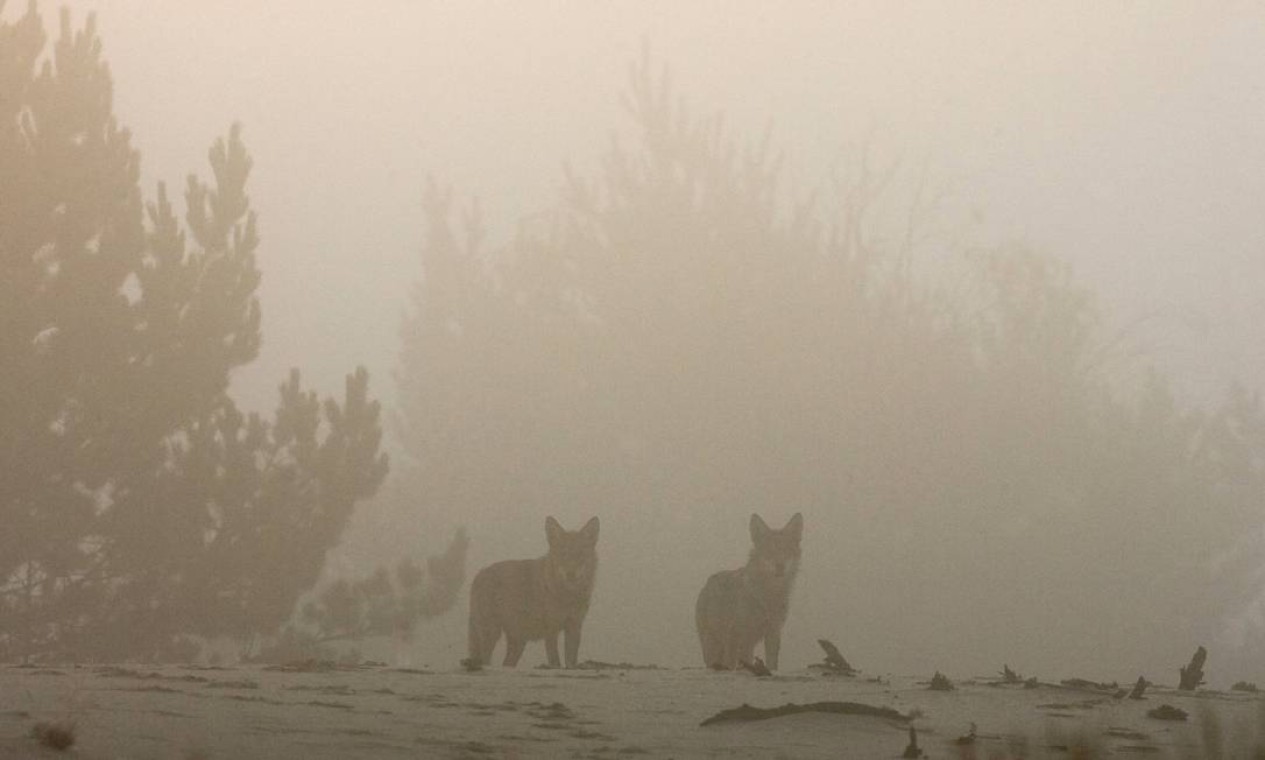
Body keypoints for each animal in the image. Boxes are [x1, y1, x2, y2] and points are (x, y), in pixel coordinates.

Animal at [468, 513, 599, 667]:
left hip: (518, 643)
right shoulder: (551, 629)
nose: (570, 574)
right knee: (485, 660)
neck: (568, 596)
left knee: (506, 664)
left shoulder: (574, 626)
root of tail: (479, 574)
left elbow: (571, 661)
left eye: (580, 554)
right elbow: (555, 660)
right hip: (491, 633)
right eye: (563, 555)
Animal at [698, 510, 804, 667]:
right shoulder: (736, 634)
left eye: (786, 551)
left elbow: (772, 664)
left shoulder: (773, 632)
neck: (769, 597)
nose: (780, 566)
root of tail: (706, 584)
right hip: (714, 646)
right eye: (769, 552)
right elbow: (734, 664)